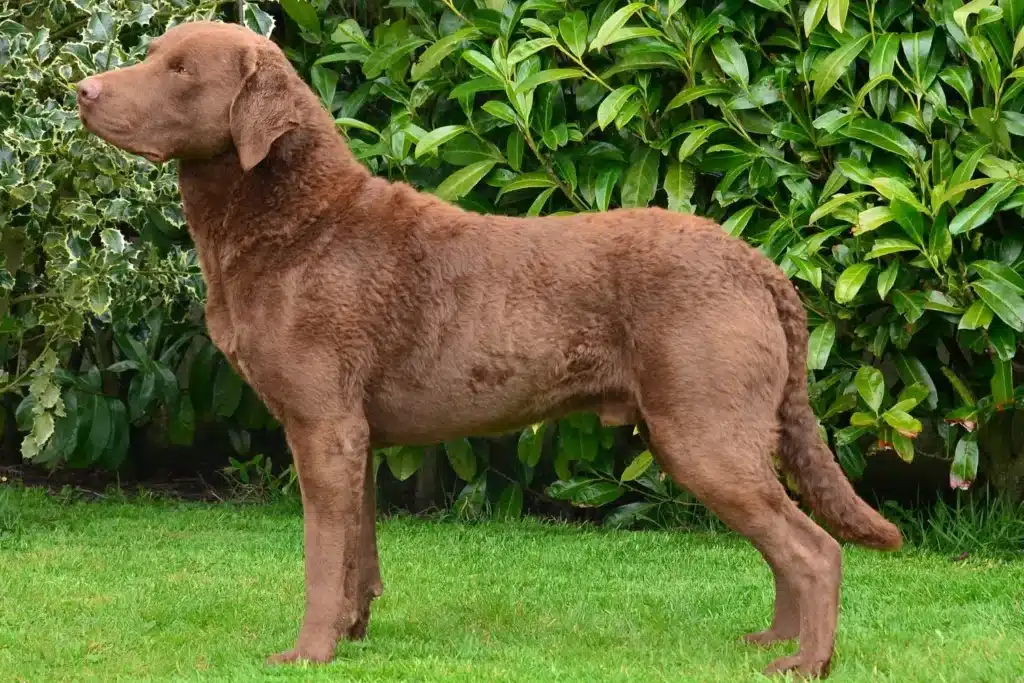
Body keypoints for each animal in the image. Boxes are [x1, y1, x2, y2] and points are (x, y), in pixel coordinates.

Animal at [75, 20, 901, 679]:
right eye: (153, 53)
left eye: (182, 71)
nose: (82, 89)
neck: (299, 220)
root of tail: (756, 262)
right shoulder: (355, 433)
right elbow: (357, 550)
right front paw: (354, 632)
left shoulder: (320, 424)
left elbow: (319, 552)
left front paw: (307, 652)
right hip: (727, 430)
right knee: (785, 539)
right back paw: (773, 641)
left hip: (703, 429)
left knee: (813, 548)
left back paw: (805, 662)